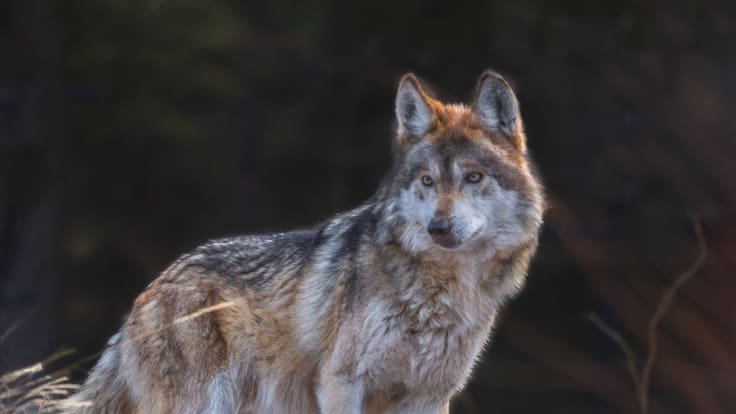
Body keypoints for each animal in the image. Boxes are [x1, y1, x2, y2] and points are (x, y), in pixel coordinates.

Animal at [64, 70, 545, 413]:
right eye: (428, 181)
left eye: (473, 177)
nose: (438, 228)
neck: (441, 291)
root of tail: (147, 294)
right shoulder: (342, 382)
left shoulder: (428, 397)